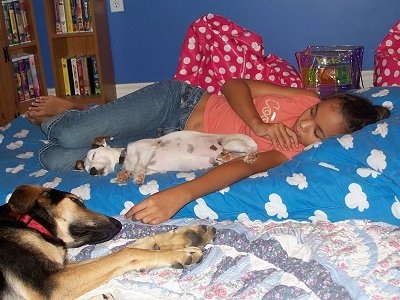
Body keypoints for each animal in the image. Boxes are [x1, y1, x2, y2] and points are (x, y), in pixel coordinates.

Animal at [0, 185, 216, 300]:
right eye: (76, 201)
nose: (119, 223)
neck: (29, 223)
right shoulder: (49, 284)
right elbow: (128, 252)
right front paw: (179, 253)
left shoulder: (61, 269)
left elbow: (134, 245)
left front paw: (188, 235)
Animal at [75, 132, 258, 185]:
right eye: (87, 169)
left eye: (93, 155)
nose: (92, 171)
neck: (125, 158)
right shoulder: (150, 168)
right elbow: (133, 170)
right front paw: (123, 175)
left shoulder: (146, 150)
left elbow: (139, 166)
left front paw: (136, 177)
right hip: (230, 150)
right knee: (234, 157)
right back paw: (225, 157)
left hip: (231, 143)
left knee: (251, 150)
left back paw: (250, 156)